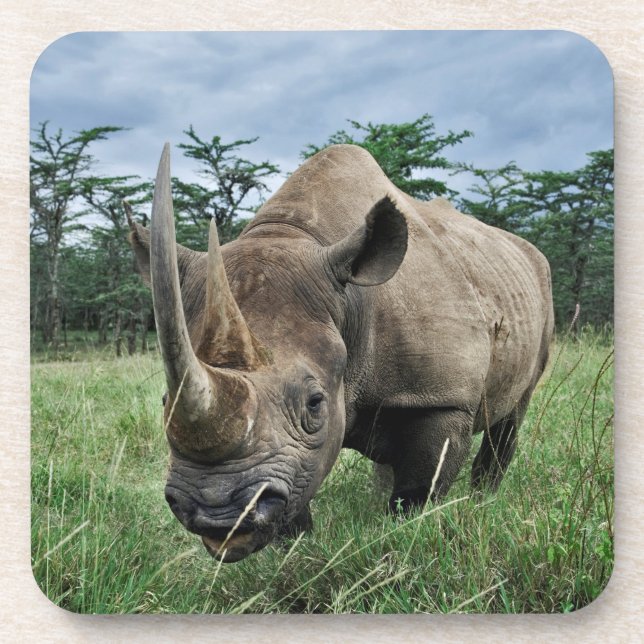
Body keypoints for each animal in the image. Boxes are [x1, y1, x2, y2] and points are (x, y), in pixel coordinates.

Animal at [128, 143, 554, 562]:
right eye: (165, 401)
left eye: (315, 403)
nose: (217, 514)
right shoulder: (296, 454)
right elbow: (299, 492)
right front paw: (297, 552)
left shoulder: (443, 398)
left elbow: (418, 491)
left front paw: (404, 536)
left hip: (537, 285)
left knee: (513, 413)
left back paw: (483, 501)